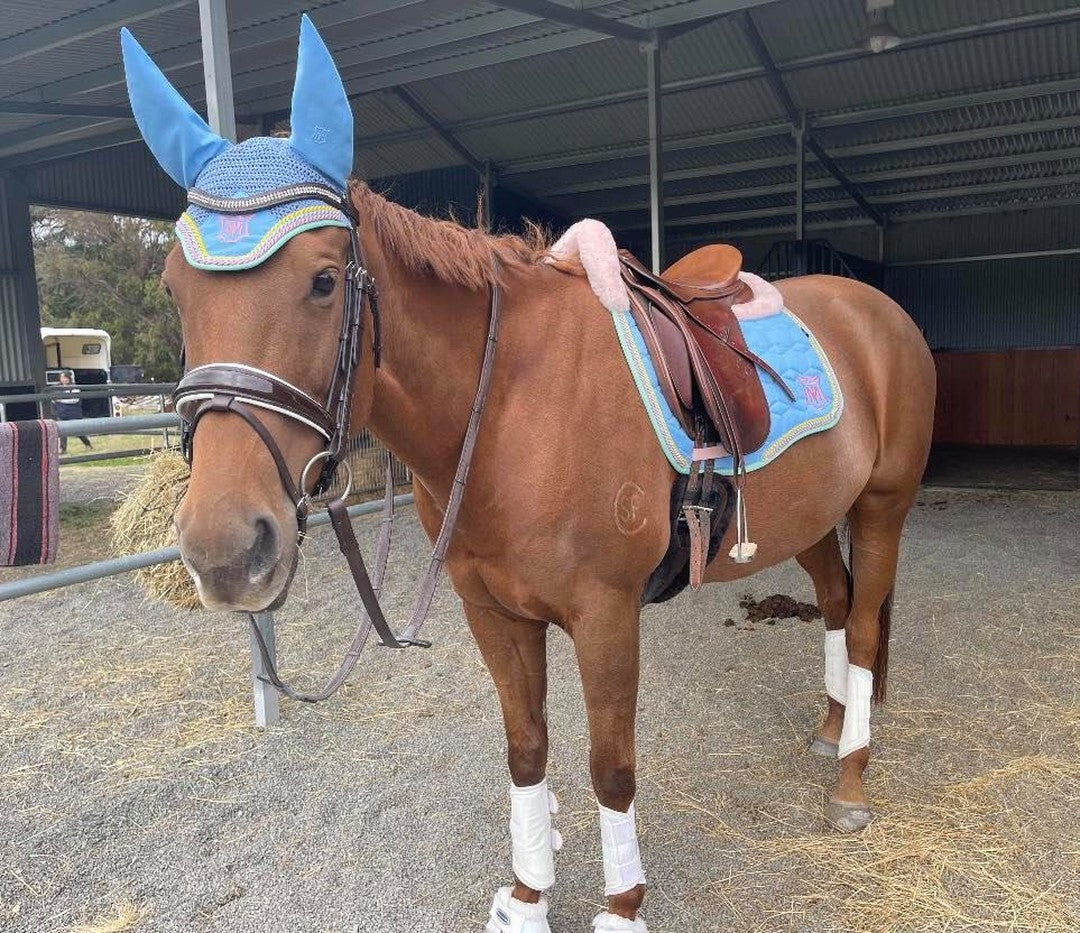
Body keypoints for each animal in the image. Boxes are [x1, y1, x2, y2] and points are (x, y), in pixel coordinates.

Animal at [121, 17, 936, 933]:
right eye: (174, 288)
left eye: (324, 280)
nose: (225, 550)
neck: (512, 406)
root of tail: (875, 310)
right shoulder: (495, 612)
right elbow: (526, 749)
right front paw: (527, 891)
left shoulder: (606, 615)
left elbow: (610, 764)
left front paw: (621, 906)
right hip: (810, 519)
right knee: (834, 602)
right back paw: (833, 730)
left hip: (882, 506)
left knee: (862, 626)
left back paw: (851, 779)